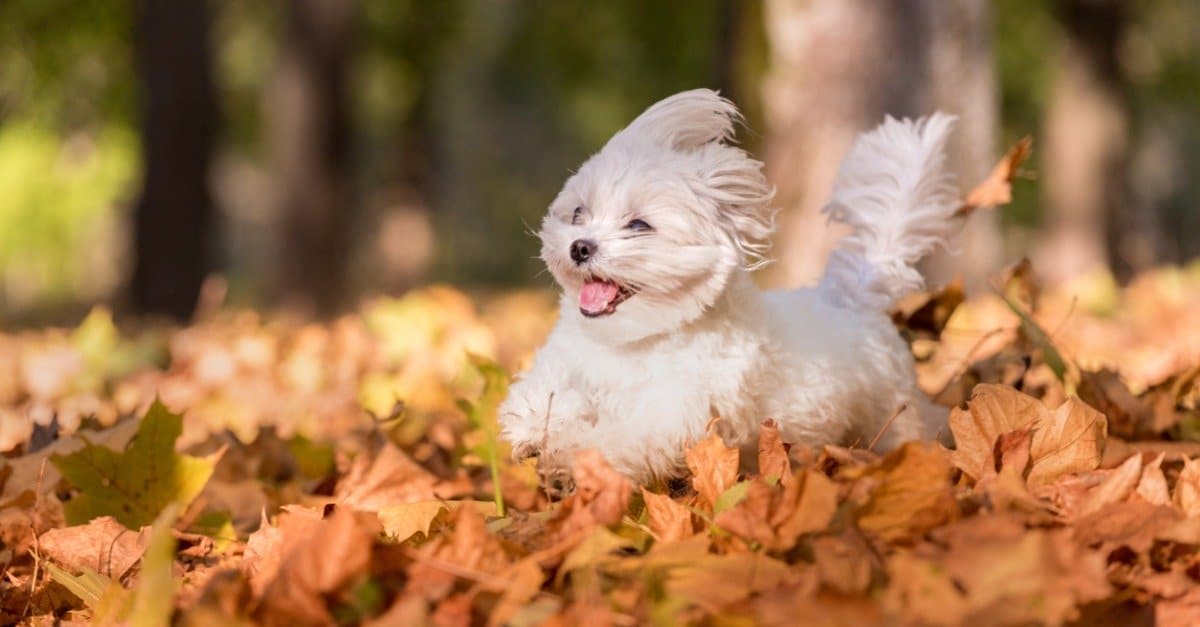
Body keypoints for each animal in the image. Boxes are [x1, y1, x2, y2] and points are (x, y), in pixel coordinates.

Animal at [501, 90, 960, 485]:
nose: (579, 246)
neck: (633, 341)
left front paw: (573, 457)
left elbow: (620, 439)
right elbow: (543, 393)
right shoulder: (567, 359)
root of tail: (850, 299)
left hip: (894, 415)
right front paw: (538, 428)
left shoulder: (673, 411)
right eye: (578, 213)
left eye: (639, 225)